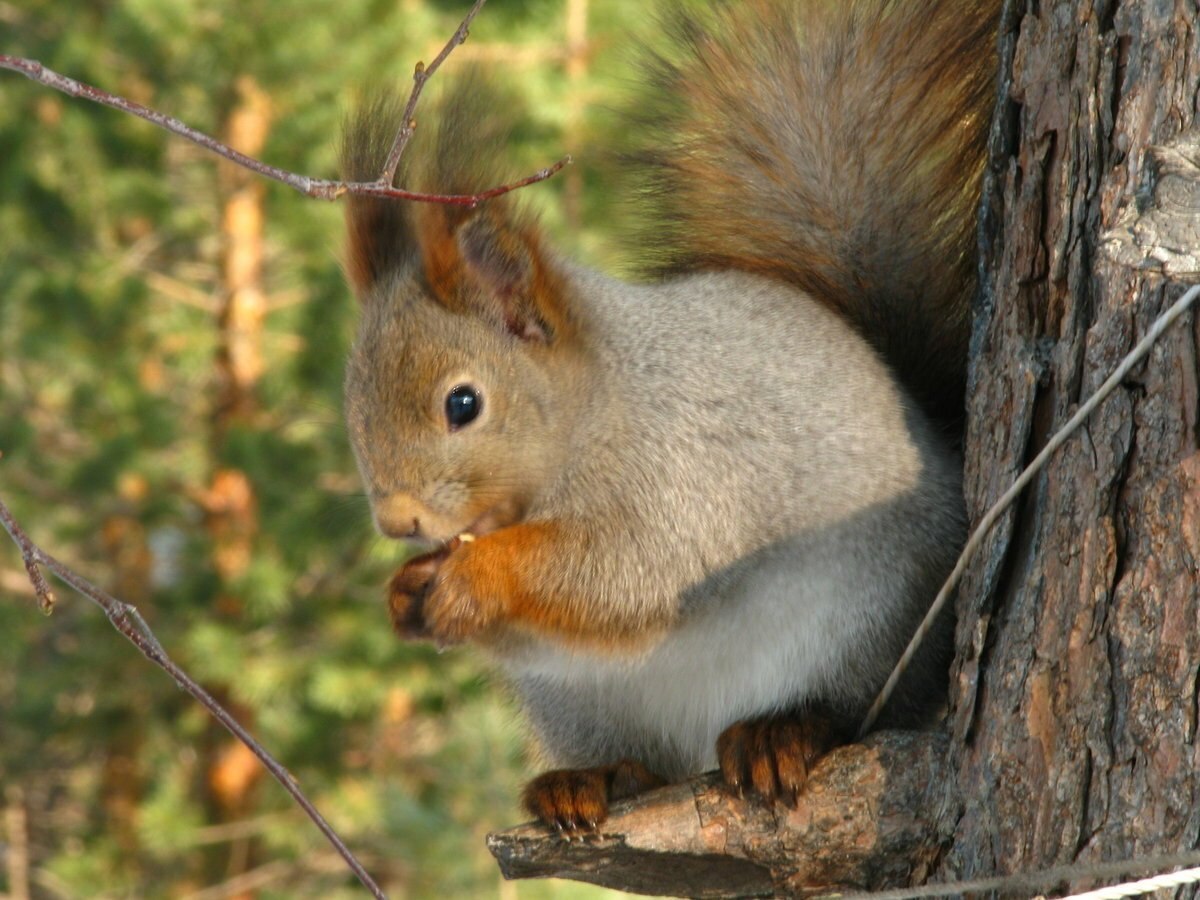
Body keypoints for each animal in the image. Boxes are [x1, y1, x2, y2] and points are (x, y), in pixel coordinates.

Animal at [336, 0, 993, 835]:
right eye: (353, 405)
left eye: (463, 403)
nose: (398, 521)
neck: (599, 408)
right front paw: (405, 592)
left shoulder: (684, 472)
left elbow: (626, 570)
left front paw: (476, 576)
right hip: (580, 704)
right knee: (638, 761)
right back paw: (587, 780)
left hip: (868, 626)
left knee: (855, 711)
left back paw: (782, 733)